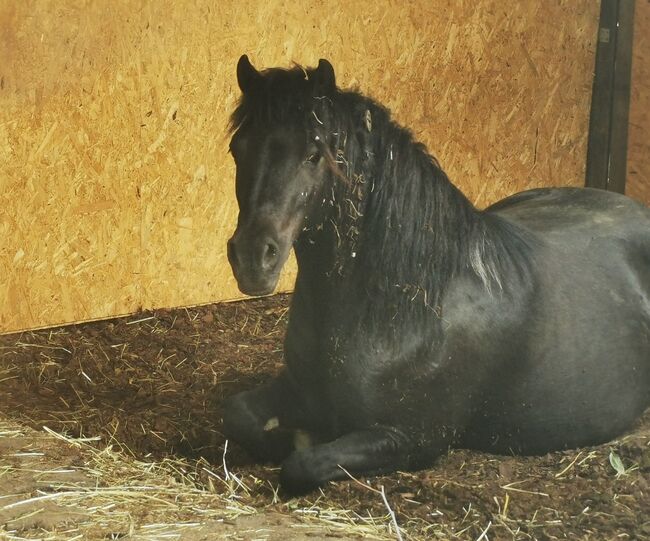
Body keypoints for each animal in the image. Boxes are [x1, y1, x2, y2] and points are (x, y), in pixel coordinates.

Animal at [221, 54, 648, 494]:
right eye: (239, 149)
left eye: (314, 154)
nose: (253, 258)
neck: (406, 306)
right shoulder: (294, 389)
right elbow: (235, 415)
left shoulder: (411, 438)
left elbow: (303, 463)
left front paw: (302, 441)